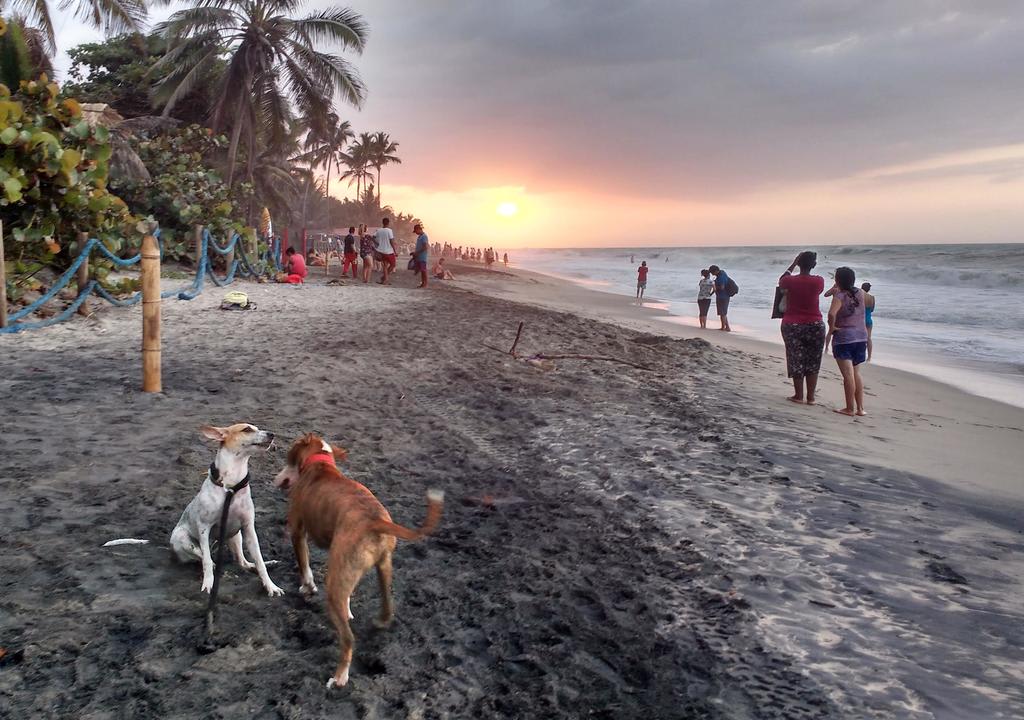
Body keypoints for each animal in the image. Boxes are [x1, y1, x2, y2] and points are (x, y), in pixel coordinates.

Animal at [168, 421, 284, 598]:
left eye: (257, 428)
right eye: (247, 429)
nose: (272, 434)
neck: (231, 486)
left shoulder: (248, 529)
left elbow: (259, 560)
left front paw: (270, 585)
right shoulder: (204, 528)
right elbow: (207, 560)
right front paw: (208, 585)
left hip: (236, 536)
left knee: (243, 562)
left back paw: (267, 563)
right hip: (183, 540)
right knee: (203, 556)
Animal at [274, 434, 442, 688]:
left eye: (288, 457)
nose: (277, 478)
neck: (320, 463)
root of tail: (375, 521)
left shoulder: (297, 531)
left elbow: (304, 565)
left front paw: (307, 587)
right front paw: (348, 610)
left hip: (335, 584)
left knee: (349, 639)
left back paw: (339, 677)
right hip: (382, 567)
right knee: (387, 606)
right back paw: (380, 621)